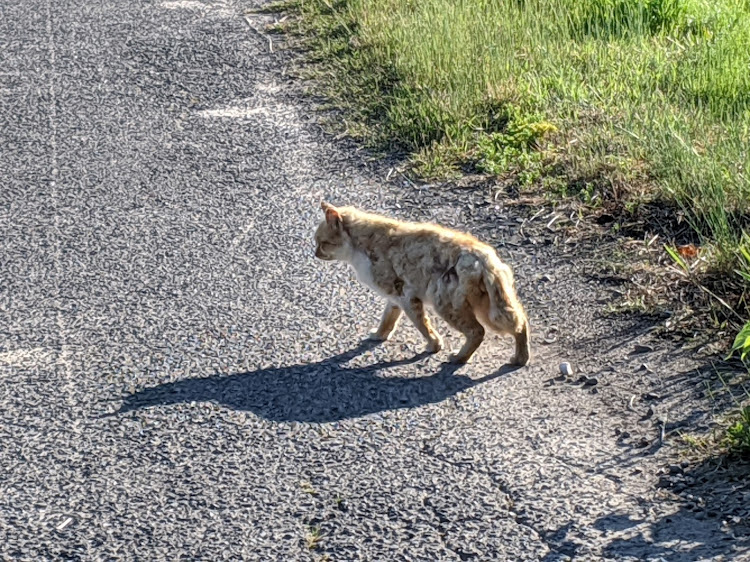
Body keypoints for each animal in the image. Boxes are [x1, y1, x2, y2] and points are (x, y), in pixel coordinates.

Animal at [314, 200, 532, 364]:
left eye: (322, 243)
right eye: (316, 243)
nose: (314, 253)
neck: (359, 249)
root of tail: (486, 259)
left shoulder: (406, 296)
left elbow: (422, 325)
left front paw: (434, 346)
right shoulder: (394, 298)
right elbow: (388, 319)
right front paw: (378, 335)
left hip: (446, 304)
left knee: (478, 331)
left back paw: (459, 358)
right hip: (490, 307)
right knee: (519, 322)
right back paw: (520, 359)